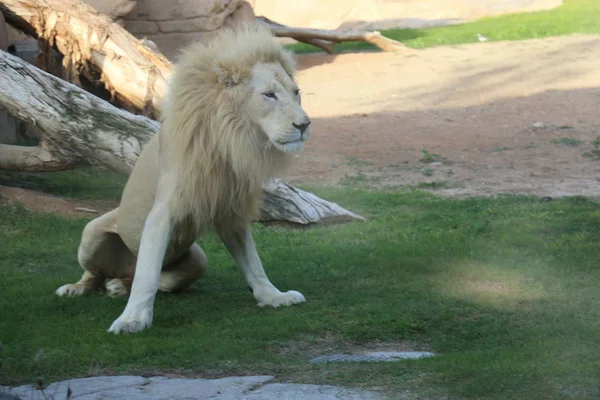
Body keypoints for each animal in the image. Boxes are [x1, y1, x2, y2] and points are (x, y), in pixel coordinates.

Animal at [55, 21, 314, 334]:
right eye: (269, 95)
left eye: (296, 92)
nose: (304, 125)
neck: (231, 135)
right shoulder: (163, 211)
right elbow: (147, 274)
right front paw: (132, 320)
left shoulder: (229, 209)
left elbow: (253, 262)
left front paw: (273, 296)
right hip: (91, 234)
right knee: (98, 273)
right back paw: (77, 288)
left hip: (199, 260)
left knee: (148, 279)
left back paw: (119, 286)